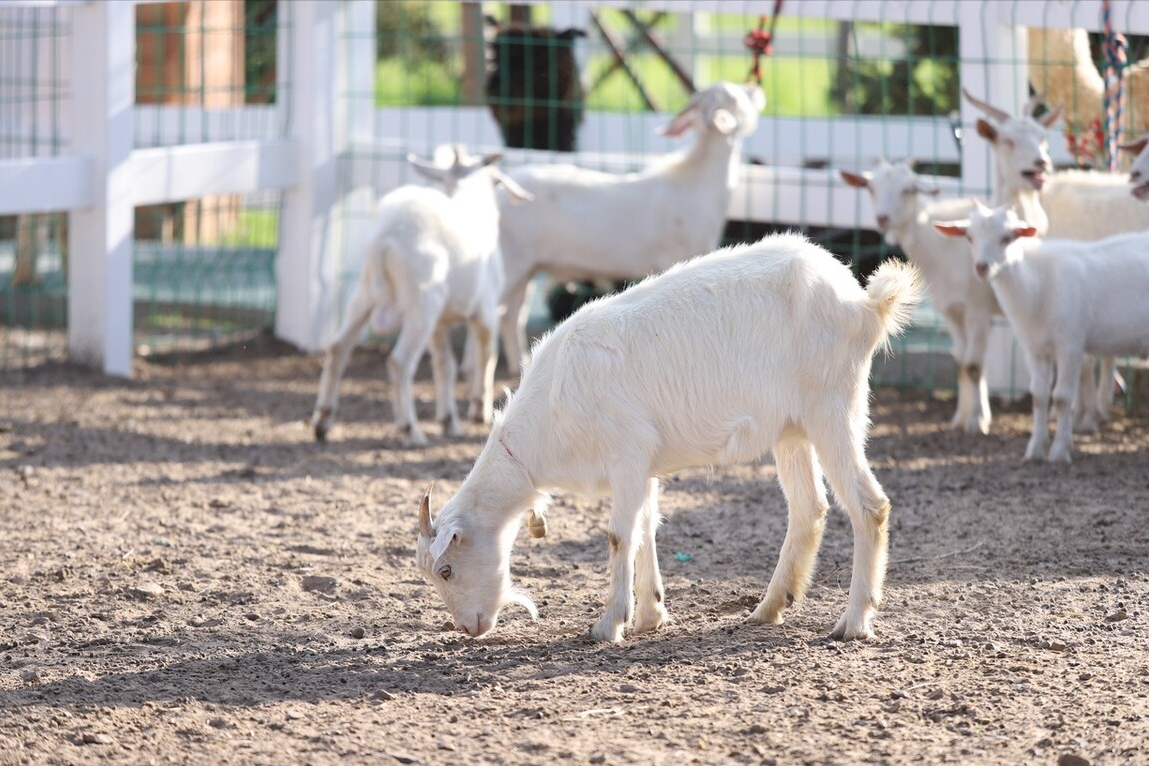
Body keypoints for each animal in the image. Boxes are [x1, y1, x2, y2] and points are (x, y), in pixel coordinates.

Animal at [310, 146, 533, 445]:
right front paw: (479, 411)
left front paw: (449, 421)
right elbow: (487, 355)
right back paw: (410, 430)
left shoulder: (440, 324)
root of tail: (385, 238)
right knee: (399, 361)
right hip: (423, 300)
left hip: (364, 294)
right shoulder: (485, 310)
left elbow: (445, 365)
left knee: (338, 347)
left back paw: (323, 421)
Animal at [418, 231, 919, 643]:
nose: (468, 628)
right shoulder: (644, 467)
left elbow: (619, 535)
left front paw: (609, 624)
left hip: (833, 409)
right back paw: (768, 607)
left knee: (870, 506)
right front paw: (650, 616)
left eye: (447, 569)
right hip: (792, 429)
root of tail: (863, 305)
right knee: (808, 508)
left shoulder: (626, 454)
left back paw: (854, 622)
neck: (553, 405)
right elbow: (646, 529)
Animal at [494, 80, 762, 372]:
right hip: (509, 262)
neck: (696, 182)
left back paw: (518, 364)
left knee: (511, 316)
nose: (755, 88)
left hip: (527, 269)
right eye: (735, 97)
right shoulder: (677, 254)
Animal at [841, 160, 1001, 436]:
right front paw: (960, 419)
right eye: (871, 188)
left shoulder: (977, 308)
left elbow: (974, 365)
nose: (882, 218)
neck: (941, 246)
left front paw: (977, 422)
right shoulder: (953, 310)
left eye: (908, 190)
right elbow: (961, 361)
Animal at [932, 200, 1149, 463]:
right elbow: (1039, 396)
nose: (982, 267)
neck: (1039, 286)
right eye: (969, 237)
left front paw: (1060, 451)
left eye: (1007, 237)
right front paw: (1035, 449)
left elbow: (1062, 397)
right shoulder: (1034, 349)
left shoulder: (1070, 345)